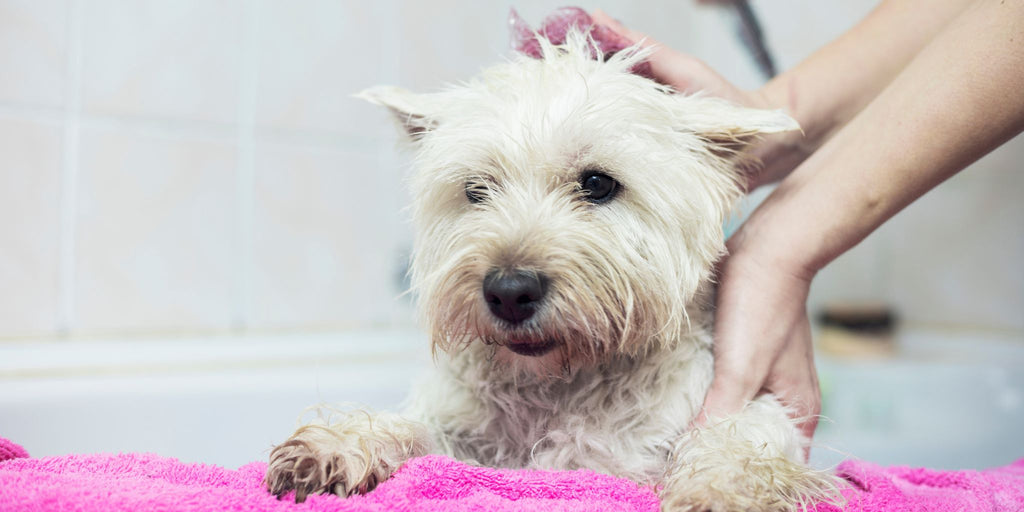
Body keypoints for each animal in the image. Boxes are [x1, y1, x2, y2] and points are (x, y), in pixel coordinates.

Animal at [264, 30, 839, 512]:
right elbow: (417, 431)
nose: (509, 292)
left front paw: (721, 492)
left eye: (599, 184)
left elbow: (740, 437)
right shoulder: (473, 444)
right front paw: (337, 444)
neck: (562, 384)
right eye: (476, 189)